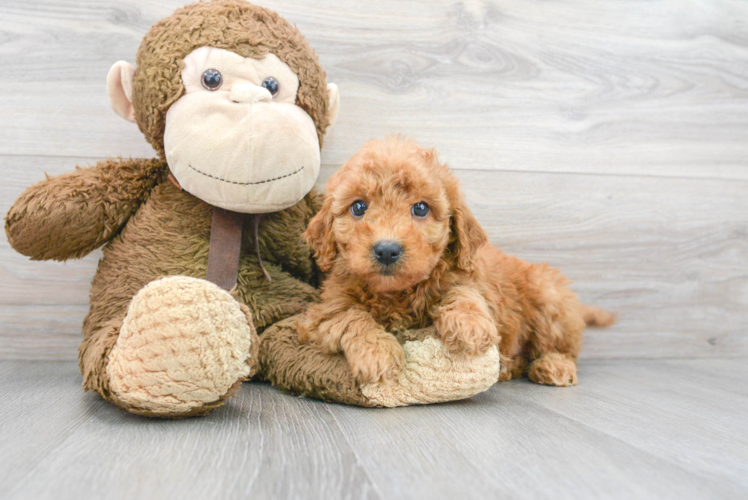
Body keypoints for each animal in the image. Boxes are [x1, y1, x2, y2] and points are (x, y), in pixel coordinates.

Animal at [298, 137, 612, 386]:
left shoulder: (470, 280)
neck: (397, 294)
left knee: (563, 347)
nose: (387, 250)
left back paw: (554, 365)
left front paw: (469, 325)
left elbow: (463, 292)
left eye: (420, 208)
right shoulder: (323, 312)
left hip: (549, 297)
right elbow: (351, 316)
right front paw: (377, 354)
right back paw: (509, 368)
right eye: (359, 207)